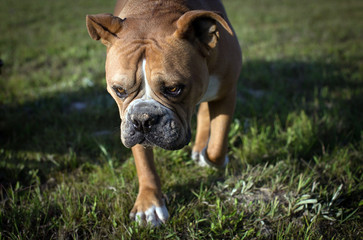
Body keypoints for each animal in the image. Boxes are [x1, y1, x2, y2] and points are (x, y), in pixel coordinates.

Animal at [86, 0, 242, 226]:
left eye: (174, 89)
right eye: (119, 90)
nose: (143, 120)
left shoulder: (226, 92)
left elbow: (218, 143)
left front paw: (210, 159)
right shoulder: (128, 122)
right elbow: (144, 164)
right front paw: (149, 204)